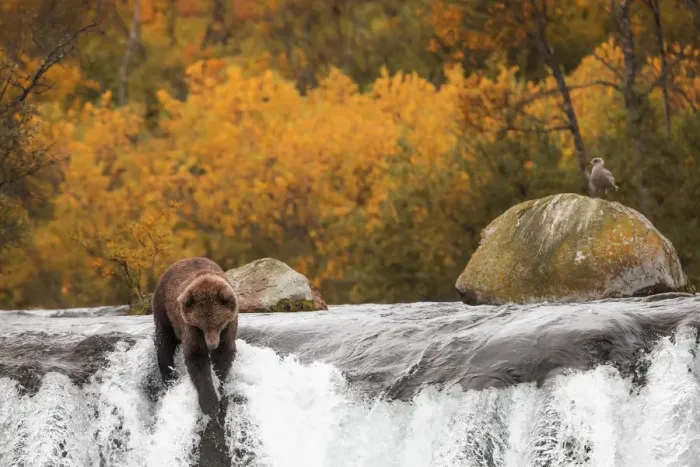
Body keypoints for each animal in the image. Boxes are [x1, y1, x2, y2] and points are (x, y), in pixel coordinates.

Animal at [152, 257, 239, 415]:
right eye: (201, 326)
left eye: (218, 323)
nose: (211, 344)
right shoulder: (190, 326)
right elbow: (196, 356)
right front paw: (210, 403)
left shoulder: (229, 326)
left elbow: (224, 354)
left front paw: (220, 386)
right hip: (164, 310)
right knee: (164, 344)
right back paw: (169, 376)